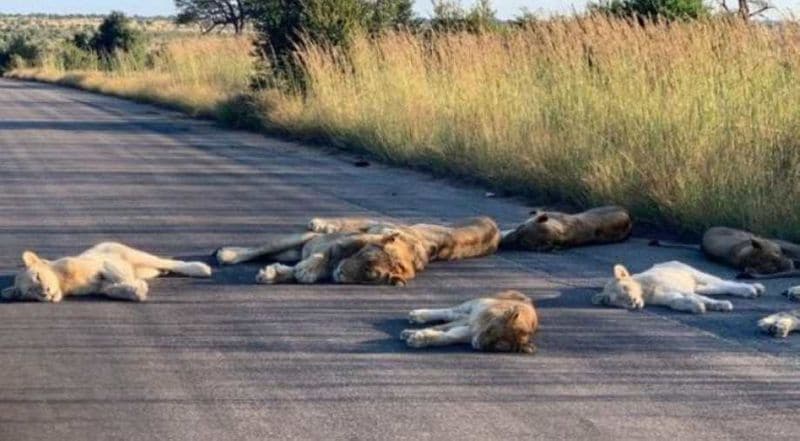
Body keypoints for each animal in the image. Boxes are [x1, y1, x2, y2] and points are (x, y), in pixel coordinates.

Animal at [0, 241, 212, 302]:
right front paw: (136, 290)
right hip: (145, 269)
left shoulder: (101, 262)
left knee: (169, 262)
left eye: (37, 276)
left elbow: (112, 273)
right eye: (29, 292)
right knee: (159, 268)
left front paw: (134, 286)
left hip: (134, 255)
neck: (64, 284)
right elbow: (110, 290)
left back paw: (201, 268)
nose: (45, 293)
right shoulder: (98, 288)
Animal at [400, 288, 536, 354]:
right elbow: (440, 327)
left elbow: (446, 337)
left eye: (497, 346)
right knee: (449, 312)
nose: (479, 344)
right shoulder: (471, 323)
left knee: (454, 315)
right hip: (473, 305)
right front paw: (410, 333)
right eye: (491, 331)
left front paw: (417, 338)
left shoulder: (467, 332)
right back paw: (417, 315)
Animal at [592, 262, 764, 312]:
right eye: (618, 300)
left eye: (625, 288)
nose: (632, 302)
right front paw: (697, 307)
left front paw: (722, 305)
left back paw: (753, 289)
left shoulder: (678, 289)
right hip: (699, 285)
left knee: (724, 282)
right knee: (716, 287)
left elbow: (702, 298)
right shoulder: (669, 297)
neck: (646, 292)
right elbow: (678, 302)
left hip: (694, 273)